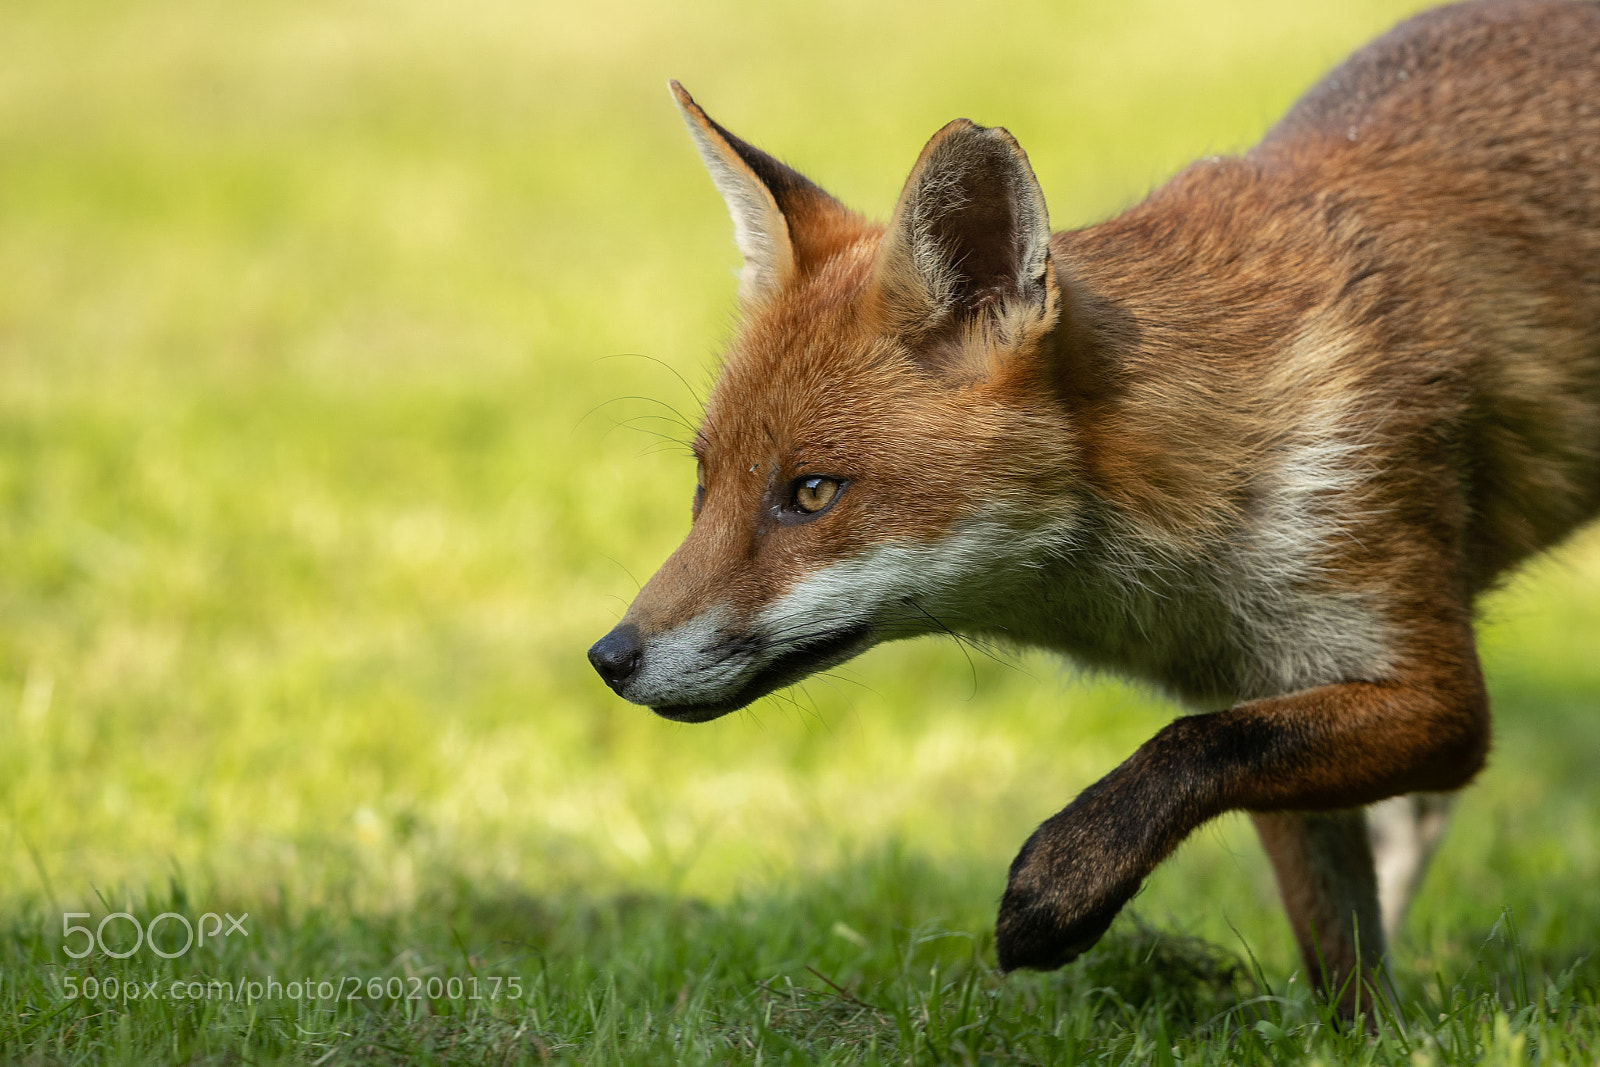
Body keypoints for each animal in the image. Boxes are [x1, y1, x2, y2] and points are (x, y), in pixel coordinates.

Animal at [589, 0, 1600, 1014]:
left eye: (809, 493)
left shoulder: (1435, 695)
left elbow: (1193, 748)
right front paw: (1369, 1032)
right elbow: (1336, 952)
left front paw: (1059, 888)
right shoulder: (1275, 680)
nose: (609, 658)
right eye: (703, 484)